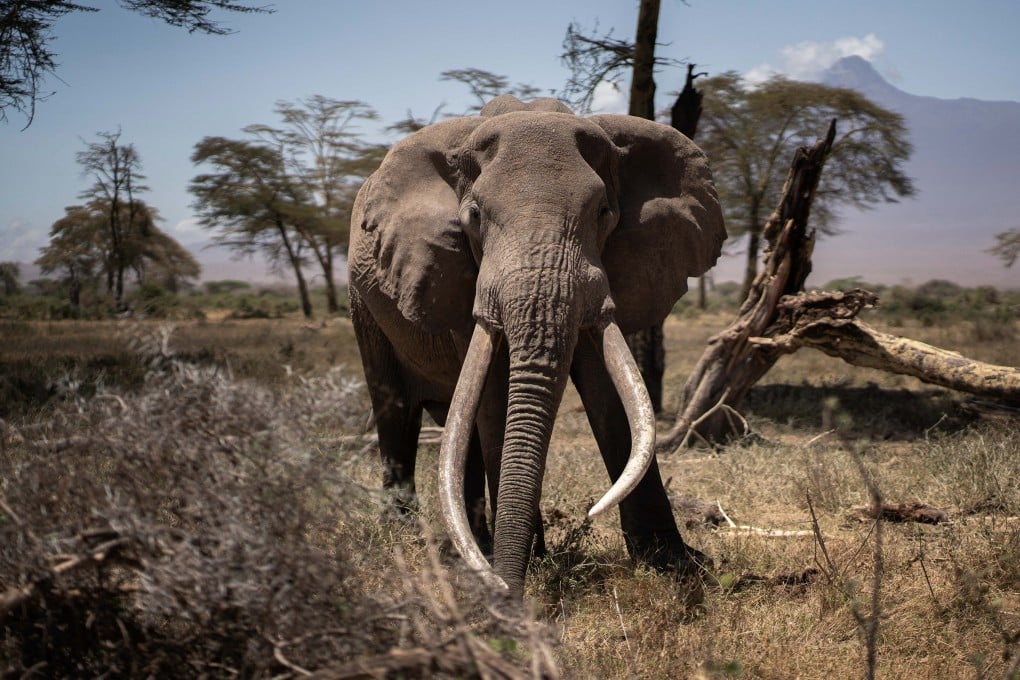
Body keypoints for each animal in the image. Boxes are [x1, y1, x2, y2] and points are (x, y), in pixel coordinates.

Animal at [348, 94, 726, 598]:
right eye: (473, 216)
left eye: (603, 212)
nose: (510, 592)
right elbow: (495, 395)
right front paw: (523, 564)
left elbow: (608, 391)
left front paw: (673, 564)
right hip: (362, 306)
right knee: (395, 411)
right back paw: (408, 533)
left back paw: (477, 542)